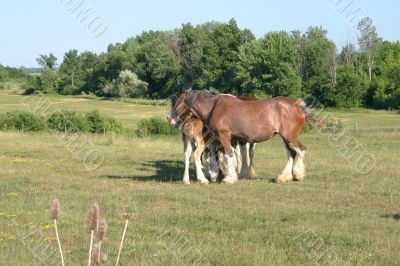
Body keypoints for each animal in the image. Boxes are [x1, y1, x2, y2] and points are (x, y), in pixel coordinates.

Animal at [169, 90, 318, 184]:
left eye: (176, 101)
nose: (170, 118)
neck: (213, 107)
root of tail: (296, 104)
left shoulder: (224, 136)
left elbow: (228, 155)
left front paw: (229, 178)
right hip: (286, 138)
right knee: (291, 153)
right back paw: (284, 176)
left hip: (289, 137)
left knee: (300, 150)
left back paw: (297, 174)